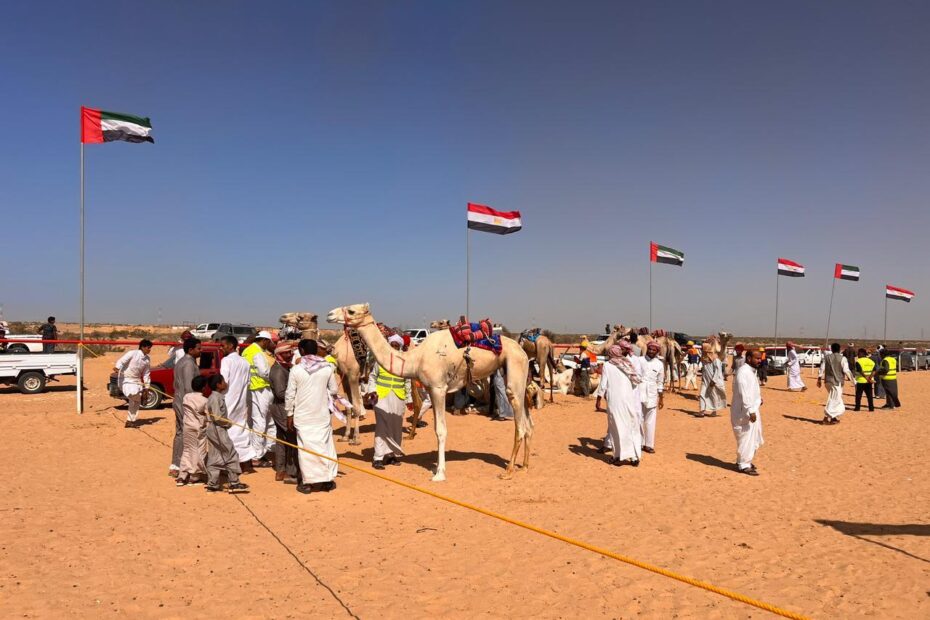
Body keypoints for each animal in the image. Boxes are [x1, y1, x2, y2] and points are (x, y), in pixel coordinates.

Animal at [328, 302, 532, 482]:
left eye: (352, 311)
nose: (329, 314)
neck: (415, 359)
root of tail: (522, 351)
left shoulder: (438, 388)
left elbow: (441, 430)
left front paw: (439, 473)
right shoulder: (432, 390)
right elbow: (434, 426)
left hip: (514, 367)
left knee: (520, 426)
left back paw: (508, 471)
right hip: (516, 375)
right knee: (529, 425)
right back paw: (525, 466)